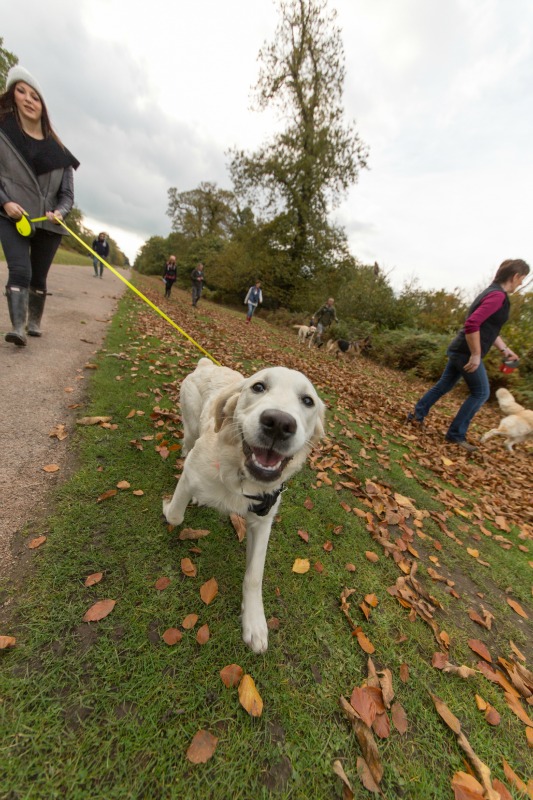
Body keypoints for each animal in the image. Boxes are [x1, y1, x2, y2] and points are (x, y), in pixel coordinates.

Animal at [162, 360, 322, 652]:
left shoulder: (263, 519)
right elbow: (175, 516)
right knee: (186, 444)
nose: (279, 423)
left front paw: (255, 621)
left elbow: (254, 575)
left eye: (308, 400)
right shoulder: (190, 472)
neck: (240, 475)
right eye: (258, 387)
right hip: (190, 428)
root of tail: (206, 363)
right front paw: (168, 506)